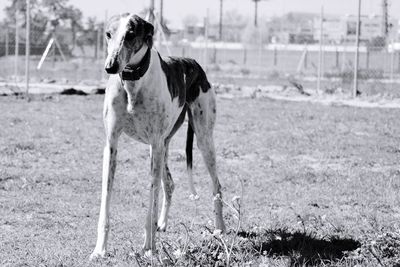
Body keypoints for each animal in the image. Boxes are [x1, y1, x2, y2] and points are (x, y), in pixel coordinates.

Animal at [90, 13, 227, 260]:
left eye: (131, 34)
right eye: (108, 34)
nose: (110, 67)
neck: (132, 82)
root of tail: (194, 63)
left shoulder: (154, 144)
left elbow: (151, 199)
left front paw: (149, 248)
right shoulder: (112, 144)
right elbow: (106, 200)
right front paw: (99, 250)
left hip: (201, 138)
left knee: (216, 185)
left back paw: (220, 228)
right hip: (163, 145)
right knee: (170, 184)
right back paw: (162, 223)